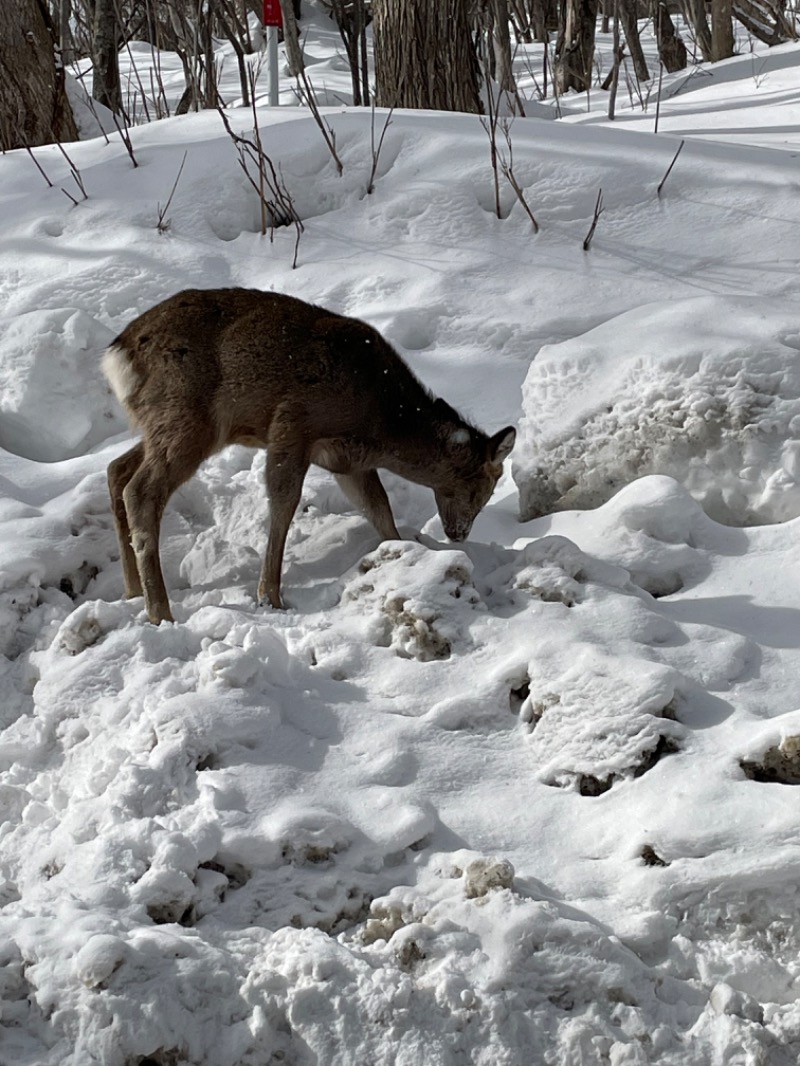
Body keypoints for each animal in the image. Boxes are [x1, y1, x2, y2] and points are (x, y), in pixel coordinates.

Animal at [103, 287, 516, 626]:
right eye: (485, 485)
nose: (458, 533)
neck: (380, 421)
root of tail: (118, 354)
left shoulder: (349, 463)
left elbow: (379, 509)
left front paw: (402, 553)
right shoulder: (292, 423)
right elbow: (284, 503)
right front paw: (270, 597)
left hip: (166, 423)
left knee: (116, 469)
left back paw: (132, 591)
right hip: (187, 415)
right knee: (141, 490)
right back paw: (160, 612)